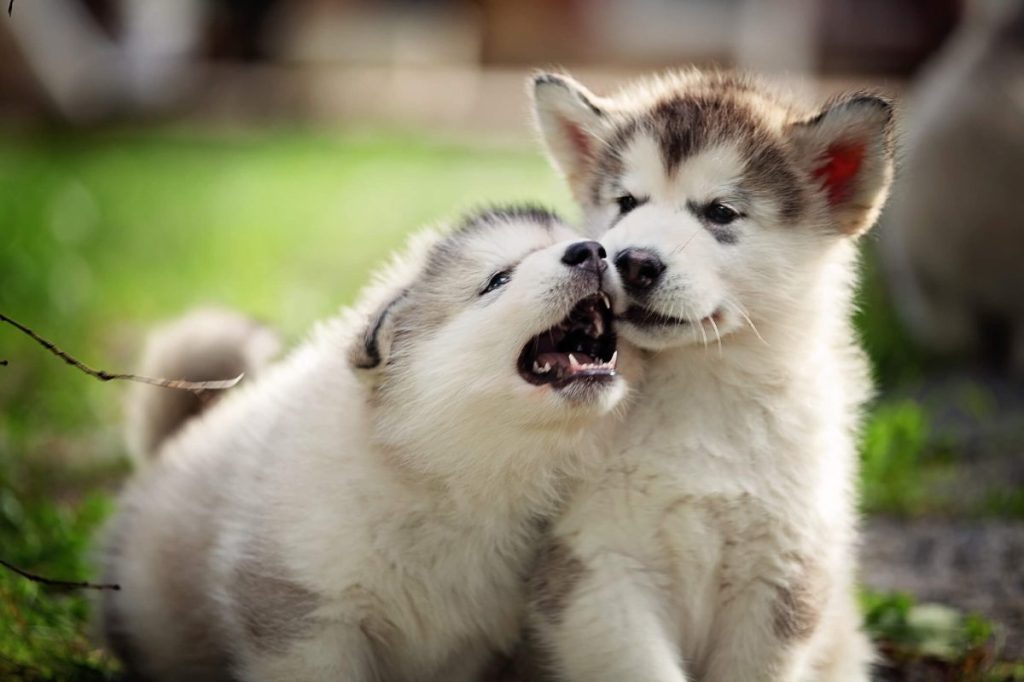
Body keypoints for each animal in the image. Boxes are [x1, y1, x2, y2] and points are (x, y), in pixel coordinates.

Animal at [524, 73, 892, 679]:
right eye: (626, 203)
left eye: (720, 212)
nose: (632, 261)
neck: (699, 383)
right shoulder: (598, 570)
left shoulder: (782, 575)